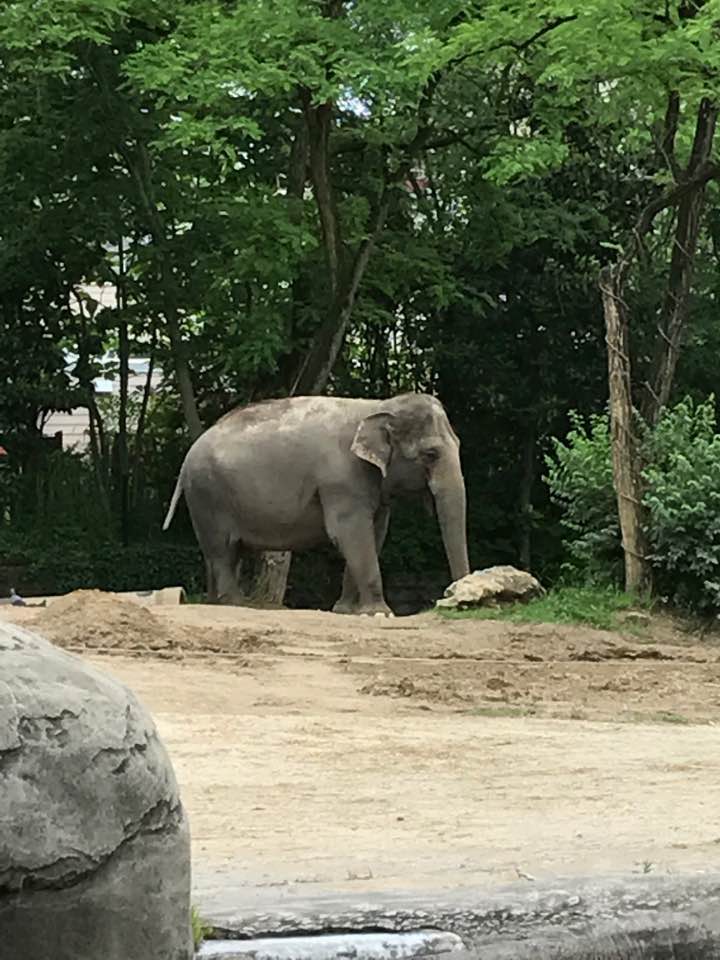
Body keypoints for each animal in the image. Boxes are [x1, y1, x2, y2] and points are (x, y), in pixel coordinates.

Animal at [162, 392, 470, 615]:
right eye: (430, 454)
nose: (453, 598)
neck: (379, 406)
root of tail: (187, 457)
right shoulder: (341, 480)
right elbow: (349, 533)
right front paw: (380, 613)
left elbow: (374, 534)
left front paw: (346, 611)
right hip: (208, 496)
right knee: (223, 550)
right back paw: (237, 604)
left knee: (224, 552)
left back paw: (216, 602)